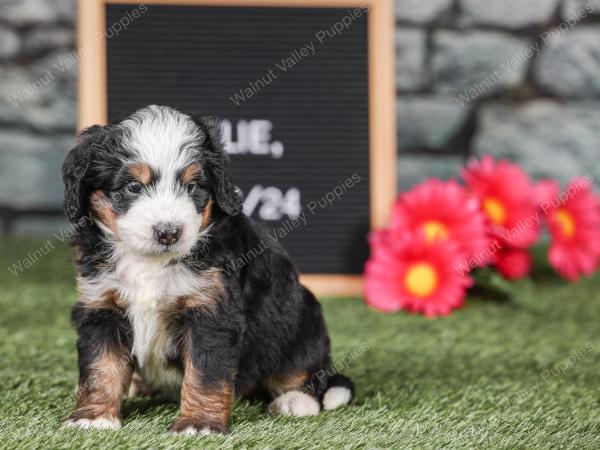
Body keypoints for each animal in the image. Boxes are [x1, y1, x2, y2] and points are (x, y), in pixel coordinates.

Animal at [62, 103, 352, 434]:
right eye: (134, 187)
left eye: (192, 187)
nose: (168, 232)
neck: (149, 262)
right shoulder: (102, 306)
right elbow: (101, 368)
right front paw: (93, 417)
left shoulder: (211, 312)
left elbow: (205, 372)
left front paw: (198, 425)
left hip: (300, 324)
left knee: (305, 373)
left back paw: (295, 401)